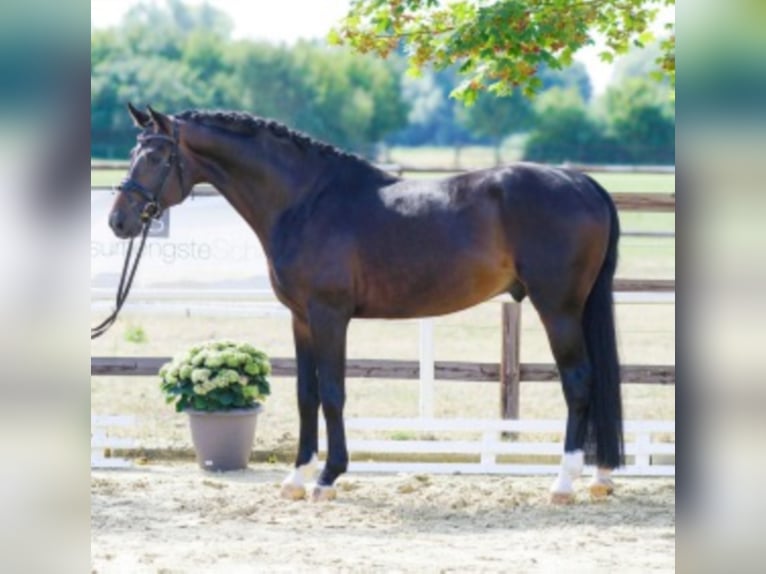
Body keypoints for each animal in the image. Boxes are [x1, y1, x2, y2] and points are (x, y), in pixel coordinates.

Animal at [109, 106, 624, 506]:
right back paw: (599, 477)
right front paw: (295, 477)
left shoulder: (329, 315)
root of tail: (580, 182)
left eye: (156, 156)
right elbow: (306, 395)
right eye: (133, 153)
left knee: (579, 383)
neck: (305, 200)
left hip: (557, 308)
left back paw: (563, 483)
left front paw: (327, 478)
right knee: (596, 383)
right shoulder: (301, 319)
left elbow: (333, 394)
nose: (119, 221)